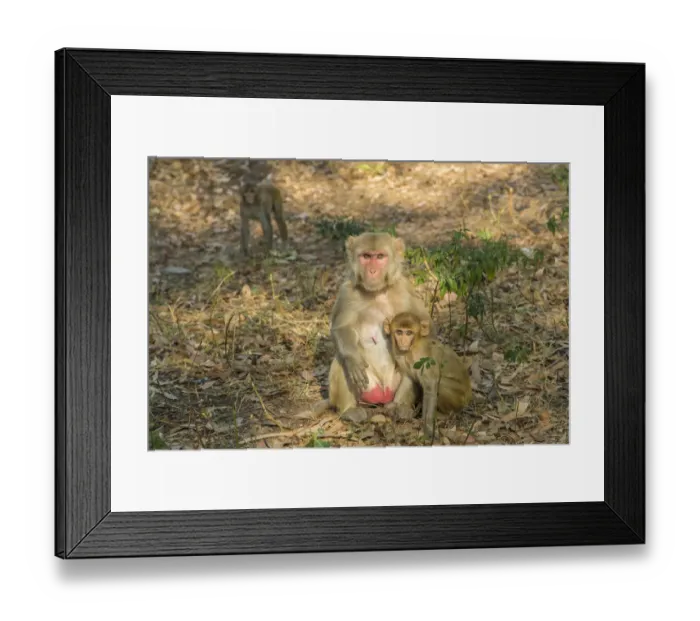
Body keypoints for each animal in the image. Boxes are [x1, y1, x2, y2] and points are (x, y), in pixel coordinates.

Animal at [328, 232, 433, 423]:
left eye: (380, 257)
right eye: (366, 256)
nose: (372, 271)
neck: (376, 292)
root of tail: (383, 396)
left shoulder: (405, 288)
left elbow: (425, 326)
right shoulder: (347, 292)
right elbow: (341, 328)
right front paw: (353, 360)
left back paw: (401, 407)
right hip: (366, 388)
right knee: (340, 360)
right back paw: (349, 410)